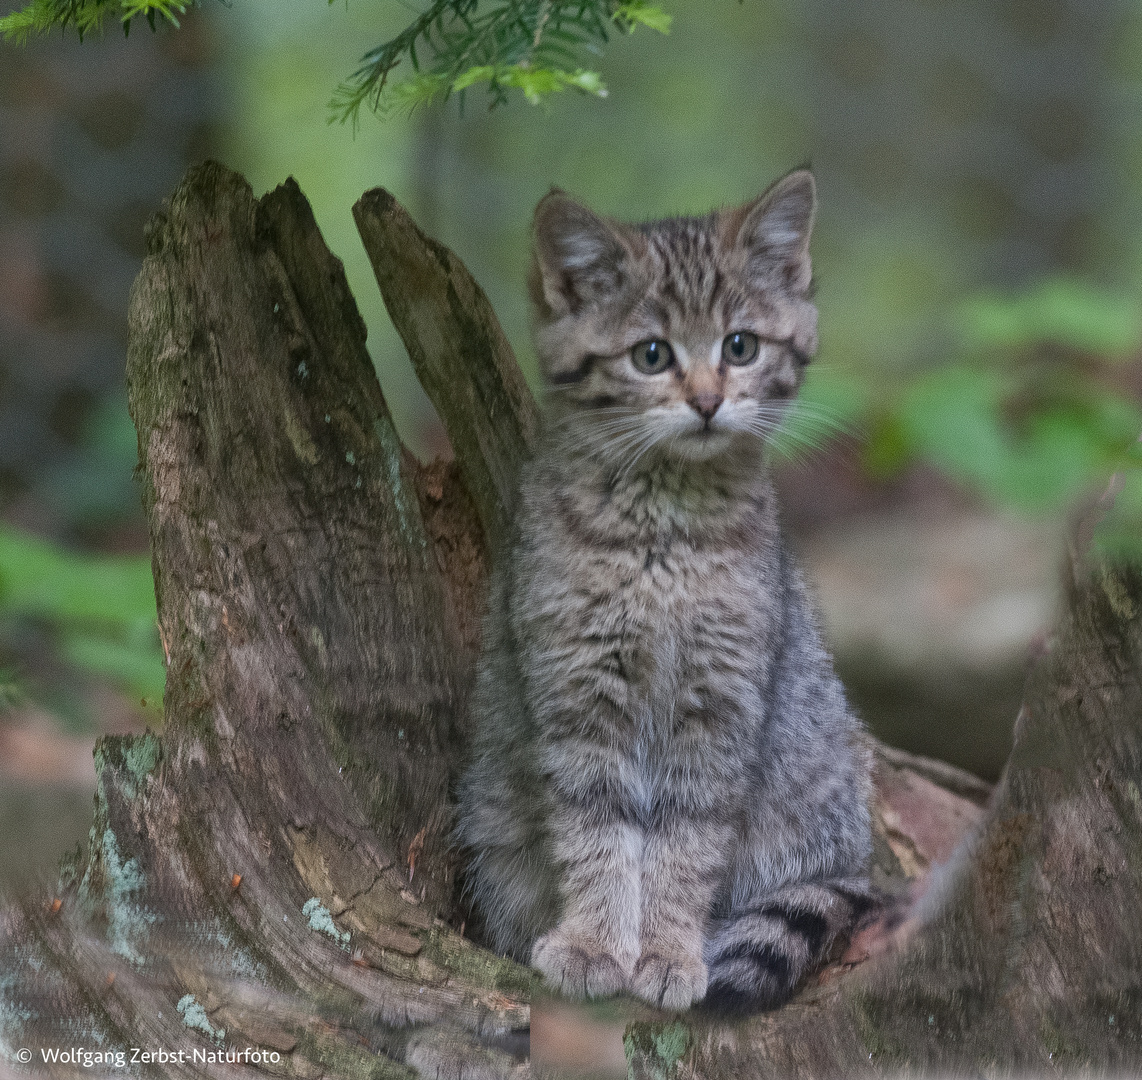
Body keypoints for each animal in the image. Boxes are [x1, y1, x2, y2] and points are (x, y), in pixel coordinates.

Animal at [459, 170, 867, 1009]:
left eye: (740, 346)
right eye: (651, 355)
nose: (707, 399)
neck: (666, 538)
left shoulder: (721, 705)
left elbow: (686, 845)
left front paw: (670, 950)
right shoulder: (578, 695)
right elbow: (596, 831)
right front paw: (593, 943)